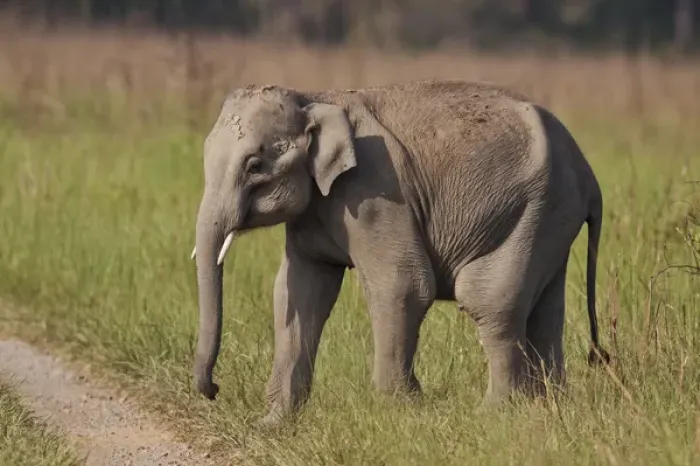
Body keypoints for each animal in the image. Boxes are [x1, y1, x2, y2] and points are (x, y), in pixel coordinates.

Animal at [189, 79, 609, 424]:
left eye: (254, 165)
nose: (214, 390)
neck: (316, 97)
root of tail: (590, 177)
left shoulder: (374, 190)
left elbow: (401, 285)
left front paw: (401, 410)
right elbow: (298, 293)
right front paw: (273, 424)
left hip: (536, 206)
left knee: (488, 299)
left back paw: (494, 413)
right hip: (549, 217)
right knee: (544, 308)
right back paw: (547, 405)